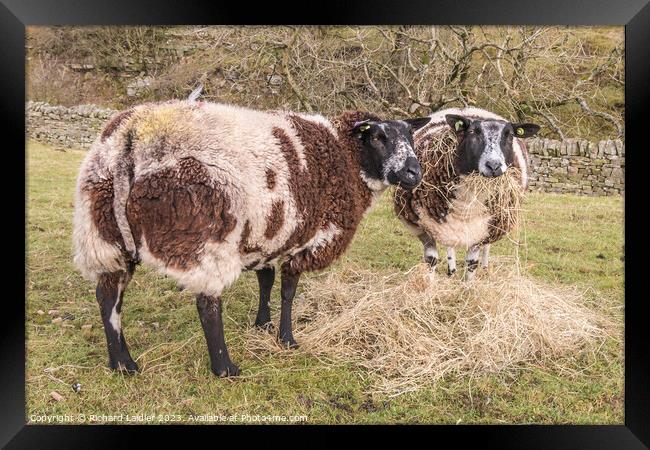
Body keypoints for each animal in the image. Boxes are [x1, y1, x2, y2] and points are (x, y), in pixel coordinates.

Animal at [73, 100, 430, 378]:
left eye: (410, 137)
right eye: (379, 137)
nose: (414, 173)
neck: (345, 156)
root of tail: (131, 135)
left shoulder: (269, 236)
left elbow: (266, 280)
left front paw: (263, 324)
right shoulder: (308, 240)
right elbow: (288, 291)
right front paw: (286, 338)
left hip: (104, 234)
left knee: (108, 297)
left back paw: (122, 362)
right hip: (204, 236)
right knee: (206, 303)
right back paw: (224, 367)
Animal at [392, 107, 540, 280]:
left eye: (509, 135)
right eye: (472, 132)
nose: (494, 166)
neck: (465, 205)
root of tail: (469, 109)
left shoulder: (480, 232)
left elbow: (471, 264)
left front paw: (468, 286)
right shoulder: (421, 226)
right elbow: (431, 259)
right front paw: (430, 284)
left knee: (485, 249)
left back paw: (484, 267)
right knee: (450, 246)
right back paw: (451, 270)